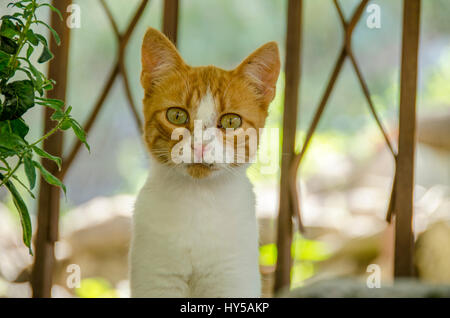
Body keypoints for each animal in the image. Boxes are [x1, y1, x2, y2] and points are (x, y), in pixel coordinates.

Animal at [128, 28, 280, 298]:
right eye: (177, 115)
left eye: (231, 121)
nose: (200, 144)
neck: (198, 199)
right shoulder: (156, 278)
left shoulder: (232, 280)